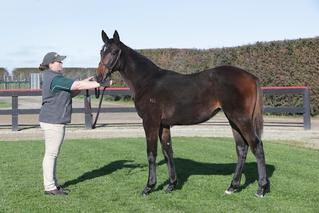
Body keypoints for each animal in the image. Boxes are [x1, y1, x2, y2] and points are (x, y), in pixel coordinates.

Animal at [97, 30, 270, 198]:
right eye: (101, 51)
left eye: (114, 51)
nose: (99, 76)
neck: (147, 81)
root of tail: (251, 77)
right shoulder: (164, 125)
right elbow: (167, 151)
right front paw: (171, 185)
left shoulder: (150, 122)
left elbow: (151, 153)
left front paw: (149, 187)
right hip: (233, 120)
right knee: (242, 148)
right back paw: (233, 186)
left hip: (241, 119)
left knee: (257, 146)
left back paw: (261, 188)